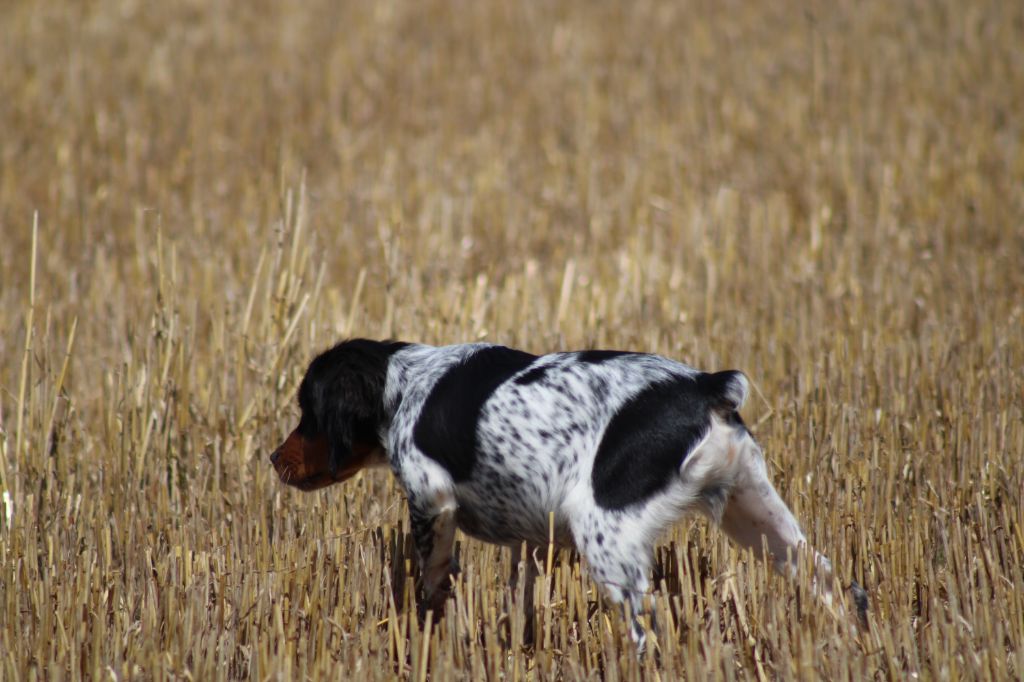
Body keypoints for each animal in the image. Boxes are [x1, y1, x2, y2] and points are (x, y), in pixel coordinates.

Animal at [272, 337, 864, 647]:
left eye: (307, 411)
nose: (274, 459)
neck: (405, 386)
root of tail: (703, 387)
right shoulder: (528, 540)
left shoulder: (429, 500)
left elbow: (432, 582)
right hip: (756, 514)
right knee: (830, 579)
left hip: (608, 535)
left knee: (648, 630)